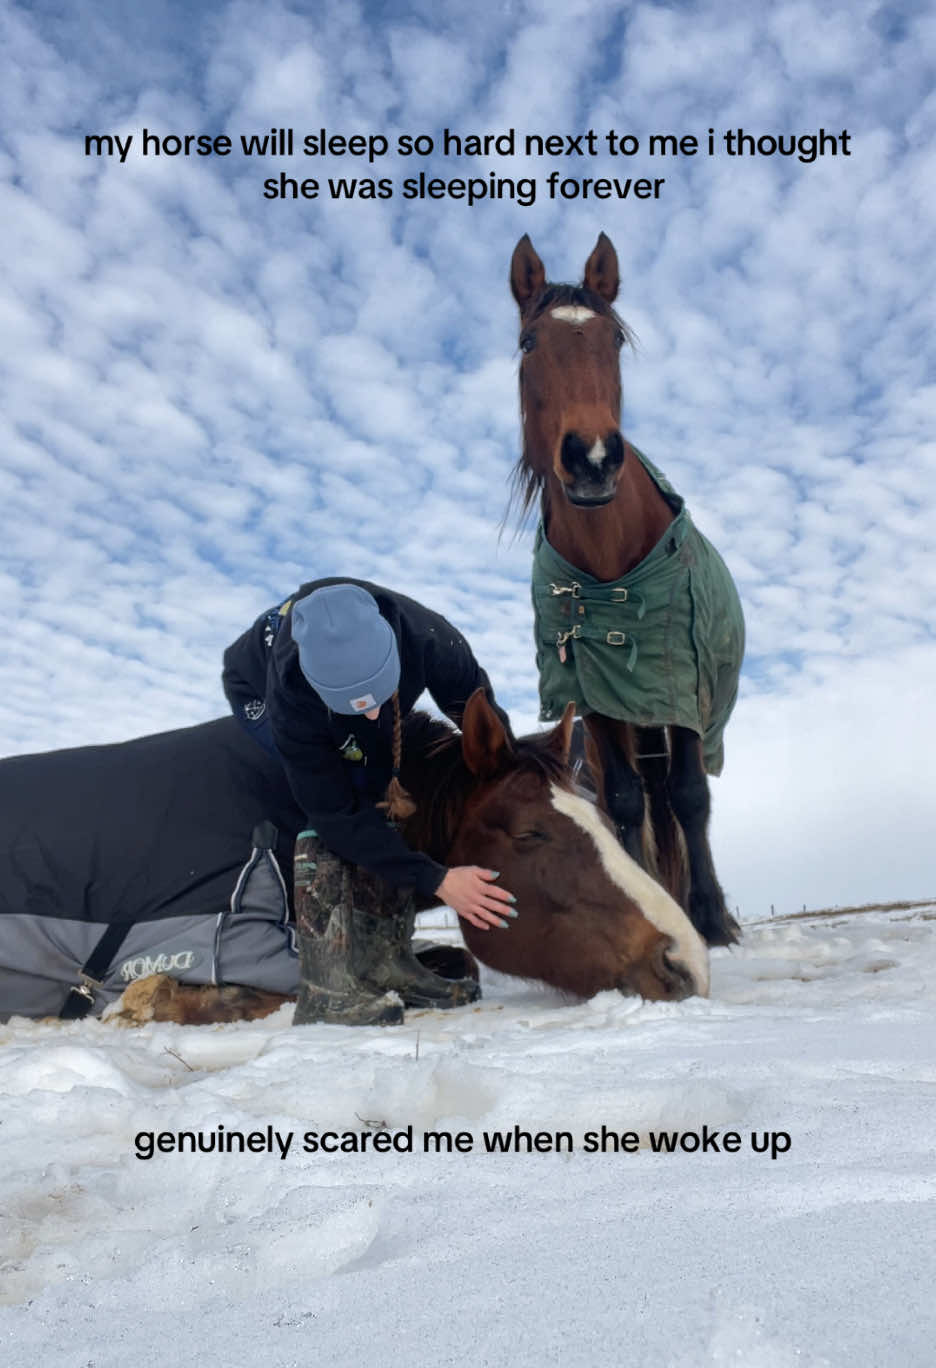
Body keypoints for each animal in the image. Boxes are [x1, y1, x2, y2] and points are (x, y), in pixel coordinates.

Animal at [509, 229, 744, 946]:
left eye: (613, 338)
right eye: (529, 343)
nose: (591, 457)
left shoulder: (685, 681)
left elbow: (691, 795)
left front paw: (711, 919)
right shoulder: (596, 692)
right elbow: (622, 801)